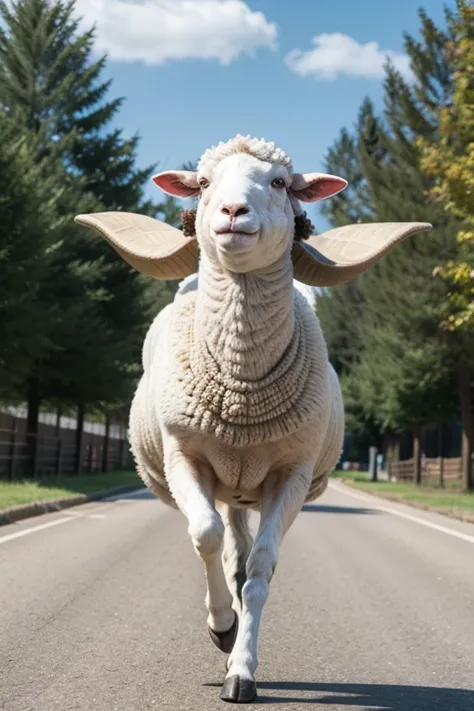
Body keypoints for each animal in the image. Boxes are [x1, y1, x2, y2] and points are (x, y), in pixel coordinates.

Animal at [75, 135, 434, 708]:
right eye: (202, 183)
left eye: (281, 183)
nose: (231, 213)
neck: (240, 401)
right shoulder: (185, 457)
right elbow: (205, 536)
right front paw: (221, 628)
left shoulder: (291, 473)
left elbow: (262, 567)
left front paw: (241, 670)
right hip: (224, 483)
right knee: (225, 542)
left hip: (255, 487)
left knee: (245, 555)